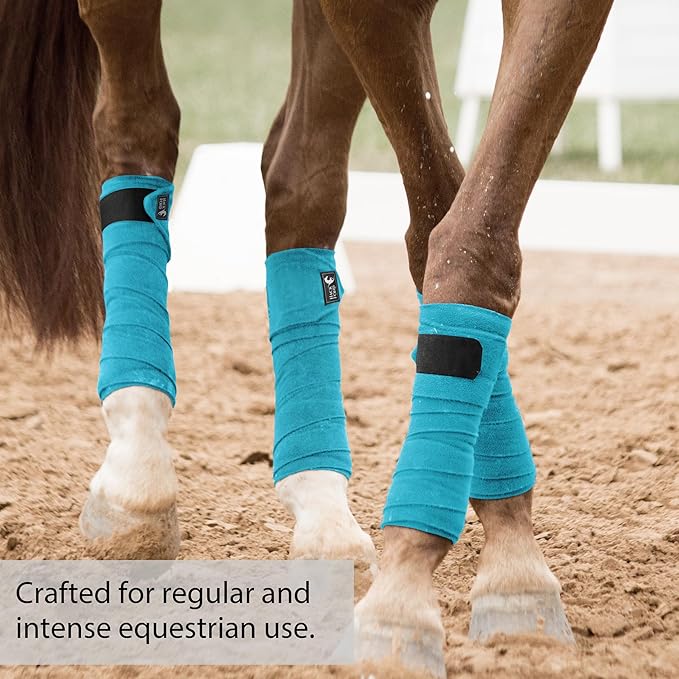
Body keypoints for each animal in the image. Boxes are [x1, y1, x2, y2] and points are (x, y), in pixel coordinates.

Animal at [0, 0, 613, 676]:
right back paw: (137, 469)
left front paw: (510, 560)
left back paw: (322, 508)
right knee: (135, 125)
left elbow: (472, 237)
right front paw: (405, 598)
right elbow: (440, 222)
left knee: (298, 180)